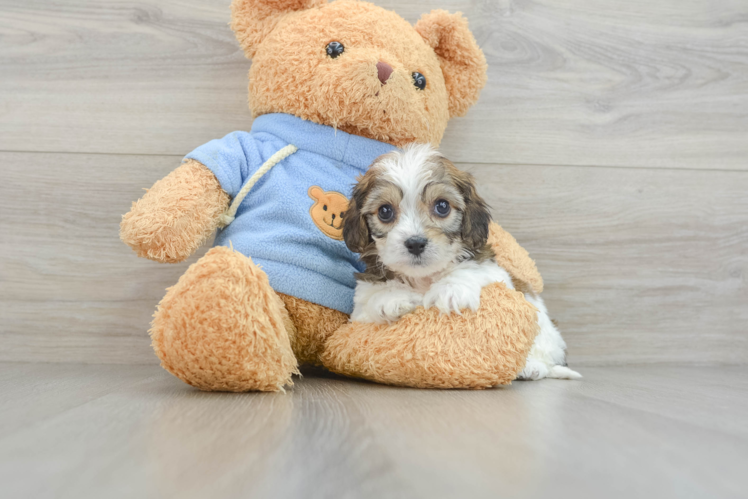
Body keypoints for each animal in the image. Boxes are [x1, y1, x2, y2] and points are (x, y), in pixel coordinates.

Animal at [342, 143, 580, 380]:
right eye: (385, 211)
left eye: (442, 206)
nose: (416, 243)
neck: (423, 279)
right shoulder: (358, 311)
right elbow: (371, 299)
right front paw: (392, 298)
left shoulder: (495, 273)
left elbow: (470, 269)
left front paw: (450, 290)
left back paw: (531, 367)